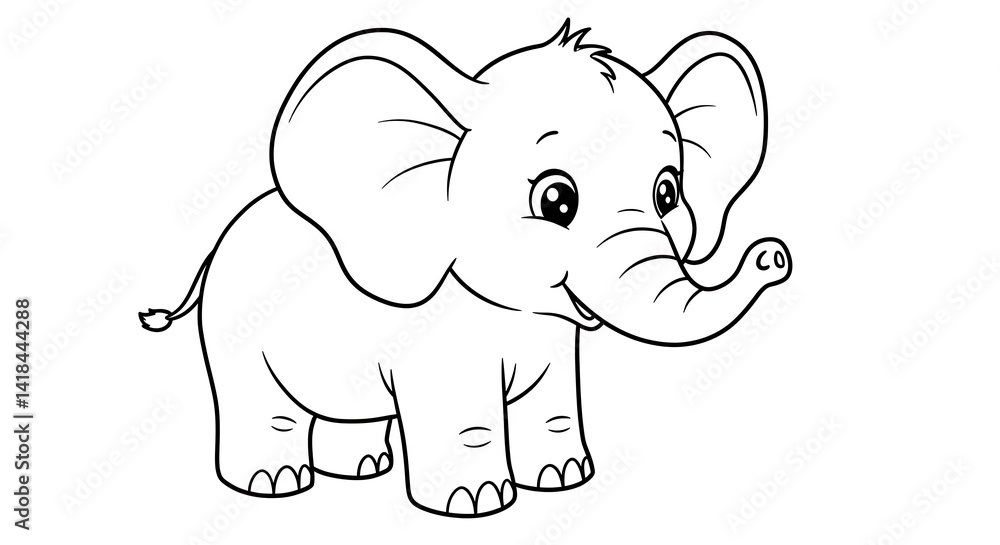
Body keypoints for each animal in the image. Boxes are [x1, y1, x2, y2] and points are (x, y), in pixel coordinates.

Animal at [140, 21, 791, 518]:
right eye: (556, 201)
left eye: (668, 193)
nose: (774, 256)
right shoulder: (439, 346)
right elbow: (462, 413)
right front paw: (476, 504)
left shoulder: (554, 340)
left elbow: (552, 402)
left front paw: (563, 478)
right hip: (233, 331)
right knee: (260, 405)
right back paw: (271, 485)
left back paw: (363, 467)